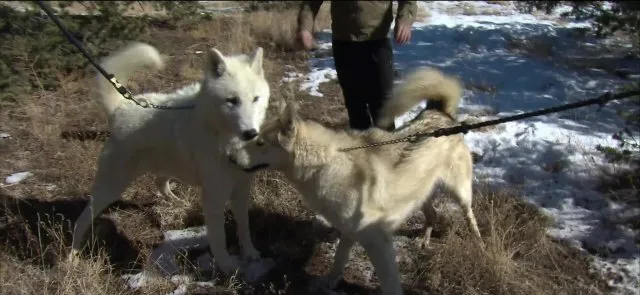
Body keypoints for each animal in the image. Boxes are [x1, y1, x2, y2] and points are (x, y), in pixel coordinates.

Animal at [70, 42, 270, 280]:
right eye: (232, 101)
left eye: (255, 99)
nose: (251, 133)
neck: (221, 136)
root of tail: (121, 107)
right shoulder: (214, 195)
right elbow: (218, 238)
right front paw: (227, 268)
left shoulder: (241, 188)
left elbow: (244, 227)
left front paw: (250, 253)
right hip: (111, 188)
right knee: (81, 221)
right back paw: (71, 258)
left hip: (166, 168)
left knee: (159, 183)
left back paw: (178, 202)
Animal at [228, 67, 482, 295]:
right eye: (255, 138)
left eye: (260, 143)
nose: (230, 157)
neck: (326, 164)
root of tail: (439, 112)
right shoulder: (349, 232)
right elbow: (338, 261)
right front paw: (329, 284)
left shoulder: (378, 243)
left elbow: (390, 285)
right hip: (419, 196)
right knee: (433, 214)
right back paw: (423, 240)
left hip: (459, 193)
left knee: (469, 214)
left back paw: (478, 241)